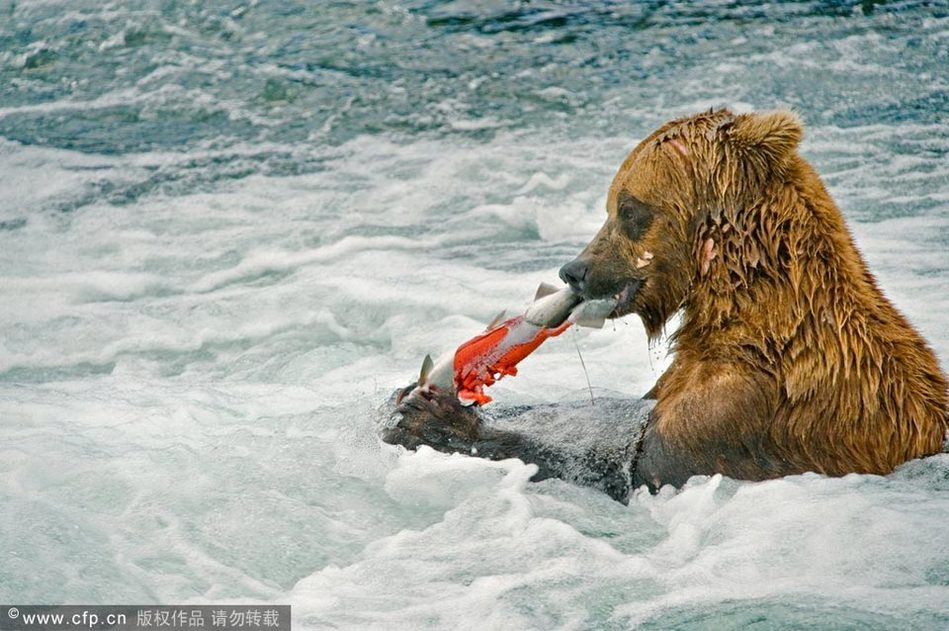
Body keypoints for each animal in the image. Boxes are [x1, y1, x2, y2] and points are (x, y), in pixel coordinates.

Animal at [386, 108, 948, 502]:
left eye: (628, 209)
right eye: (611, 205)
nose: (574, 269)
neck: (747, 314)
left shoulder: (746, 408)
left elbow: (630, 470)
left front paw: (432, 419)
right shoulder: (677, 383)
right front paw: (406, 394)